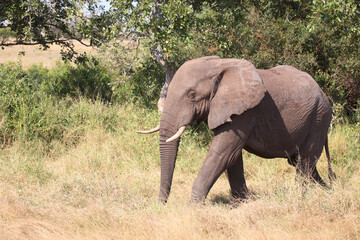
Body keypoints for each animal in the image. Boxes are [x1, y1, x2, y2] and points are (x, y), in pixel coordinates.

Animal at [138, 56, 334, 204]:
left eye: (192, 95)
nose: (161, 205)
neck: (219, 66)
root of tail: (323, 94)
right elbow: (232, 157)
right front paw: (242, 202)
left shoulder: (246, 112)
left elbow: (223, 153)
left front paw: (193, 207)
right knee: (301, 162)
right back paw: (329, 190)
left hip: (319, 118)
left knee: (305, 162)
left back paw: (300, 198)